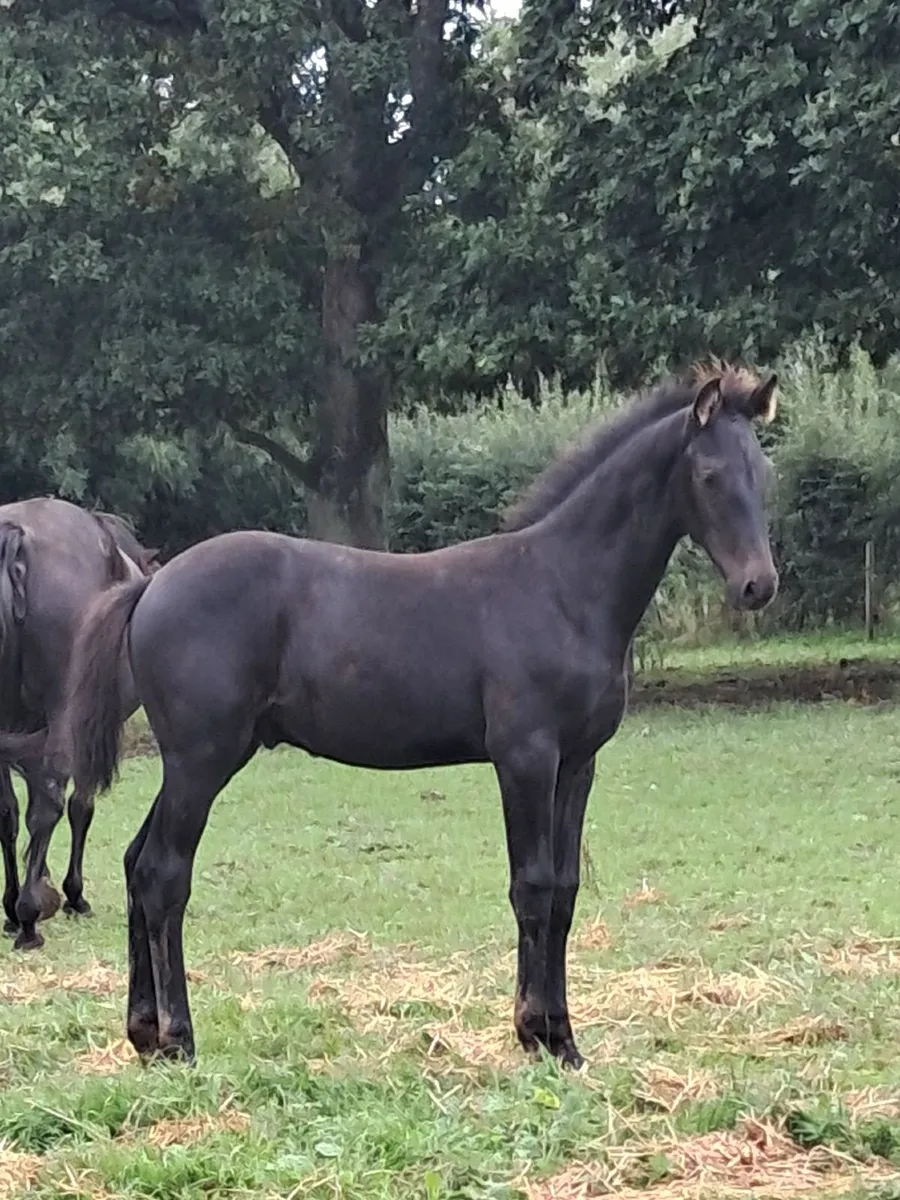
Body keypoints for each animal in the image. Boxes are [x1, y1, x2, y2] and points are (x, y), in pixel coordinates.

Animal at [0, 498, 159, 950]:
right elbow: (79, 806)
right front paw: (70, 894)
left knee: (11, 812)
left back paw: (16, 909)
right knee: (51, 806)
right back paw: (29, 919)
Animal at [61, 364, 779, 1067]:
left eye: (763, 472)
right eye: (709, 476)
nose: (758, 585)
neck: (562, 588)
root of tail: (151, 583)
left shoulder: (577, 763)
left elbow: (566, 891)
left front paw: (565, 1041)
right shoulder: (525, 757)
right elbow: (533, 886)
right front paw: (535, 1032)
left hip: (201, 760)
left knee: (136, 863)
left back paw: (144, 1036)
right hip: (200, 760)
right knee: (163, 875)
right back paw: (179, 1039)